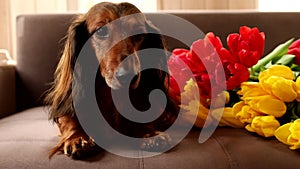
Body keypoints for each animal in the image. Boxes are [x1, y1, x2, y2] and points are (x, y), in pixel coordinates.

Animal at [45, 1, 178, 159]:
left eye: (138, 34)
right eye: (101, 31)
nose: (128, 76)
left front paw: (150, 133)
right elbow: (70, 121)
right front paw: (77, 138)